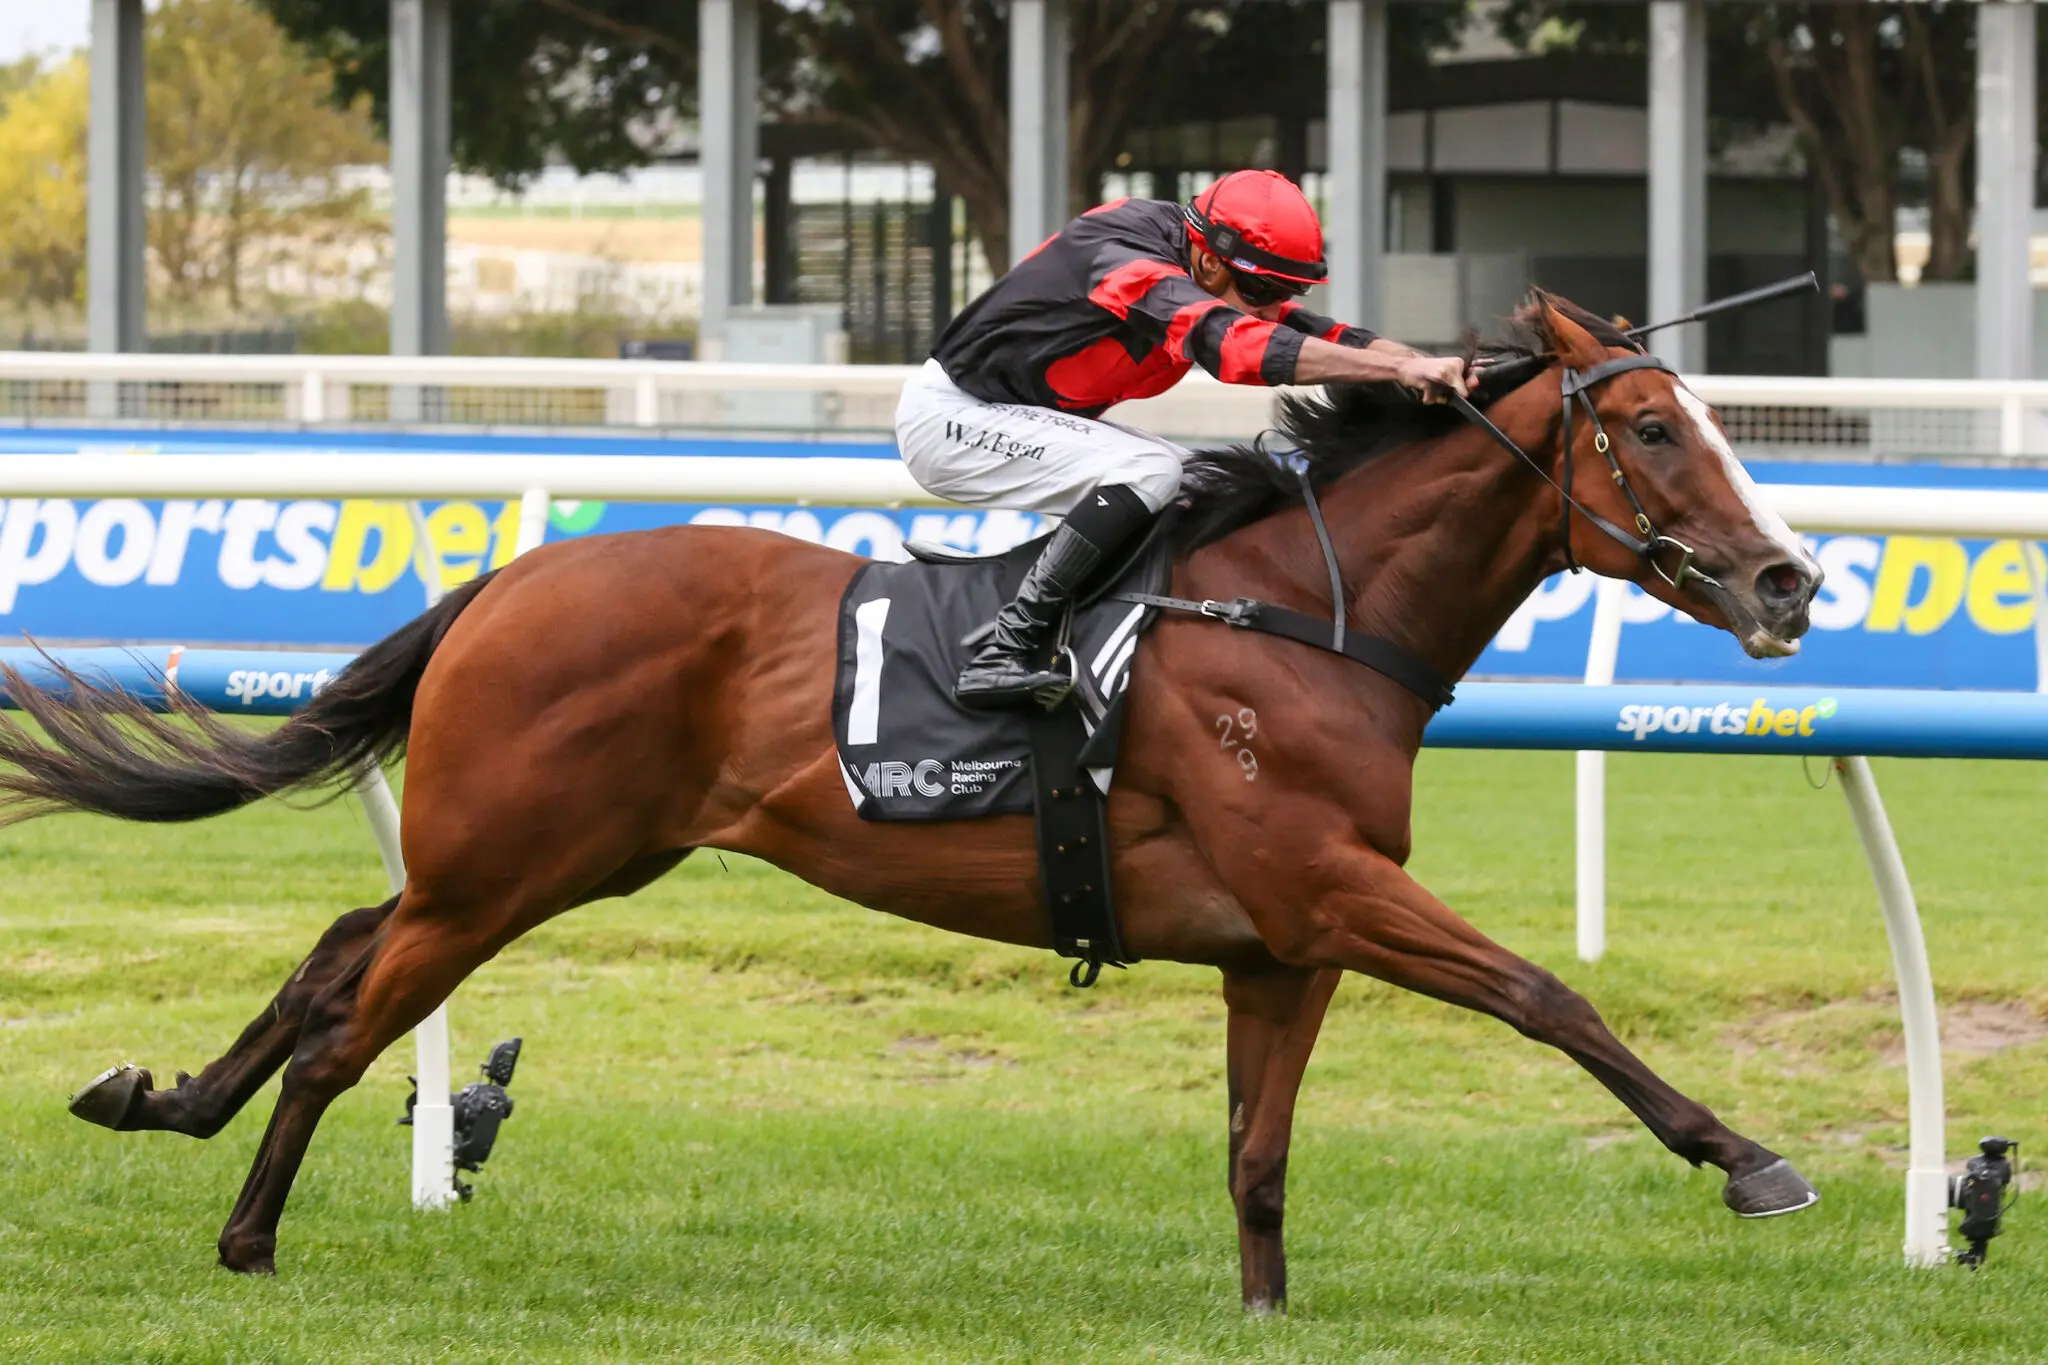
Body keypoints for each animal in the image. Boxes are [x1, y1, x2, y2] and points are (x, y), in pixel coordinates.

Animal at [8, 296, 1818, 1301]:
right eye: (1653, 426)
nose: (1788, 578)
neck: (1305, 614)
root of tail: (509, 581)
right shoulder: (1324, 884)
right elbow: (1543, 995)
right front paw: (1746, 1156)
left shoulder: (1280, 940)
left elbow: (1257, 1157)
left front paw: (1262, 1311)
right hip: (503, 872)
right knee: (345, 1020)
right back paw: (246, 1238)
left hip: (541, 858)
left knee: (334, 939)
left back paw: (160, 1098)